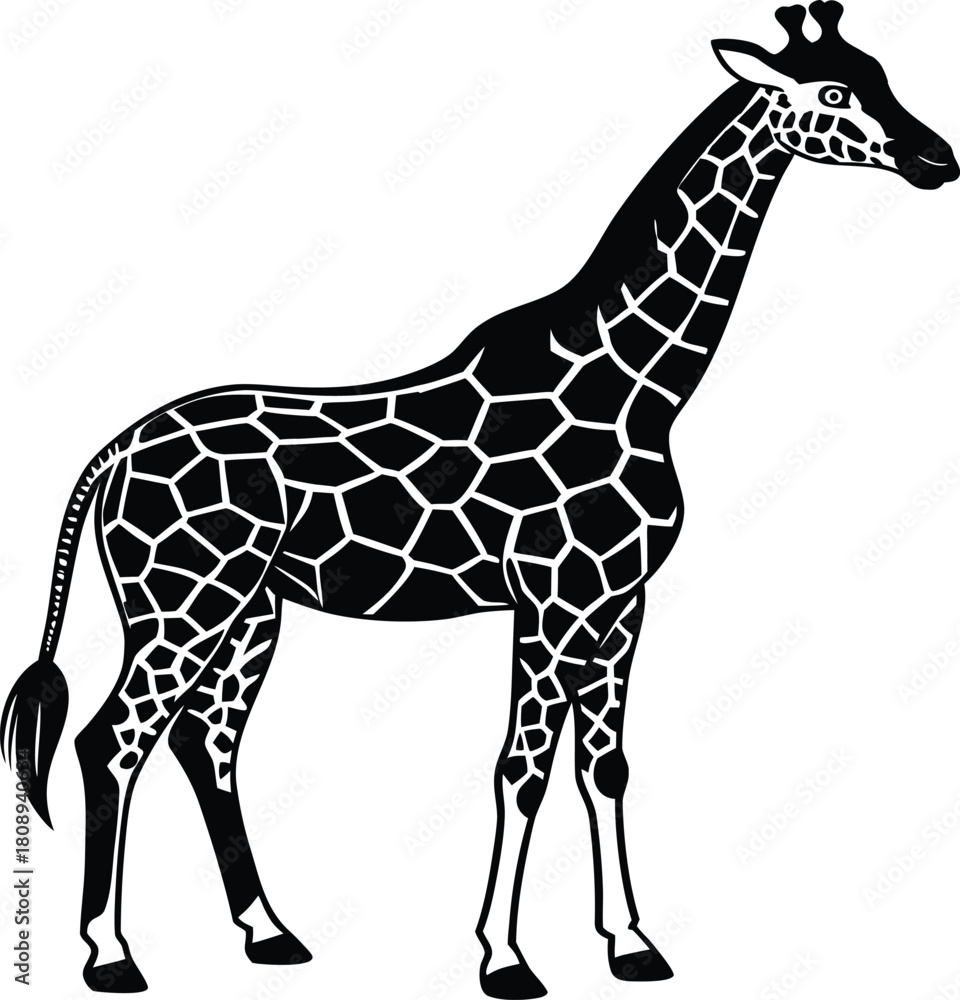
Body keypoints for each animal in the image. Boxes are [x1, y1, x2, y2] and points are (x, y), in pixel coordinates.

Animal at [2, 3, 956, 996]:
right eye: (833, 93)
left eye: (881, 72)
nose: (939, 160)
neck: (636, 385)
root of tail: (110, 454)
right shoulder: (551, 597)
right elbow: (518, 769)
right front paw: (505, 959)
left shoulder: (620, 602)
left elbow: (605, 767)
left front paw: (631, 945)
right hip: (183, 602)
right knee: (113, 739)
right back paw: (112, 955)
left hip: (251, 607)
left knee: (205, 742)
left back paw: (269, 931)